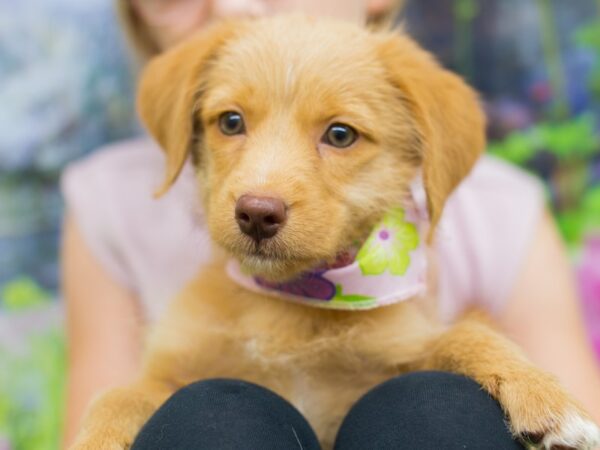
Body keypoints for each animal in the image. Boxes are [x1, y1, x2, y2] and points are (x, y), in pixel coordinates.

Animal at [71, 14, 600, 450]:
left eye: (340, 134)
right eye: (231, 121)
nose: (256, 213)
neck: (294, 302)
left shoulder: (390, 361)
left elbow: (464, 334)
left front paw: (542, 395)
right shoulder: (172, 370)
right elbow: (119, 394)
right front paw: (95, 437)